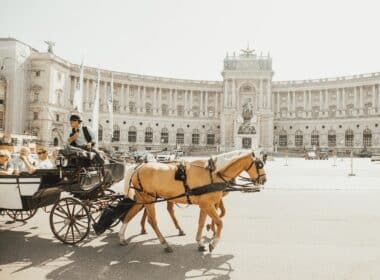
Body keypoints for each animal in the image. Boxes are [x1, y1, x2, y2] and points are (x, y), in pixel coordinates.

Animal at [120, 152, 266, 253]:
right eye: (259, 164)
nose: (264, 180)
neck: (213, 173)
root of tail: (138, 167)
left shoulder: (205, 204)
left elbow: (202, 222)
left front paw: (201, 242)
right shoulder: (208, 204)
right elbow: (220, 221)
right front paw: (213, 242)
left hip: (143, 198)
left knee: (130, 213)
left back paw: (122, 237)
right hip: (148, 198)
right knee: (152, 221)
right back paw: (165, 244)